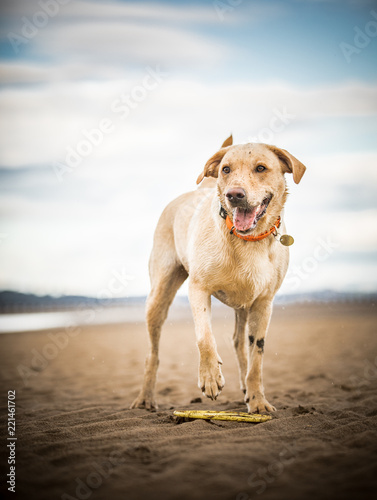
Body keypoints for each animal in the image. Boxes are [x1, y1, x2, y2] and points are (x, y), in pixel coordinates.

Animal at [131, 136, 304, 414]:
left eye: (261, 168)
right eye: (226, 169)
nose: (234, 194)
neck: (247, 240)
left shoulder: (264, 302)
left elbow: (257, 357)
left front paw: (258, 400)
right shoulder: (198, 288)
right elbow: (205, 337)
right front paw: (210, 377)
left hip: (245, 305)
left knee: (239, 342)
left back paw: (245, 388)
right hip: (158, 296)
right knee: (152, 354)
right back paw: (145, 398)